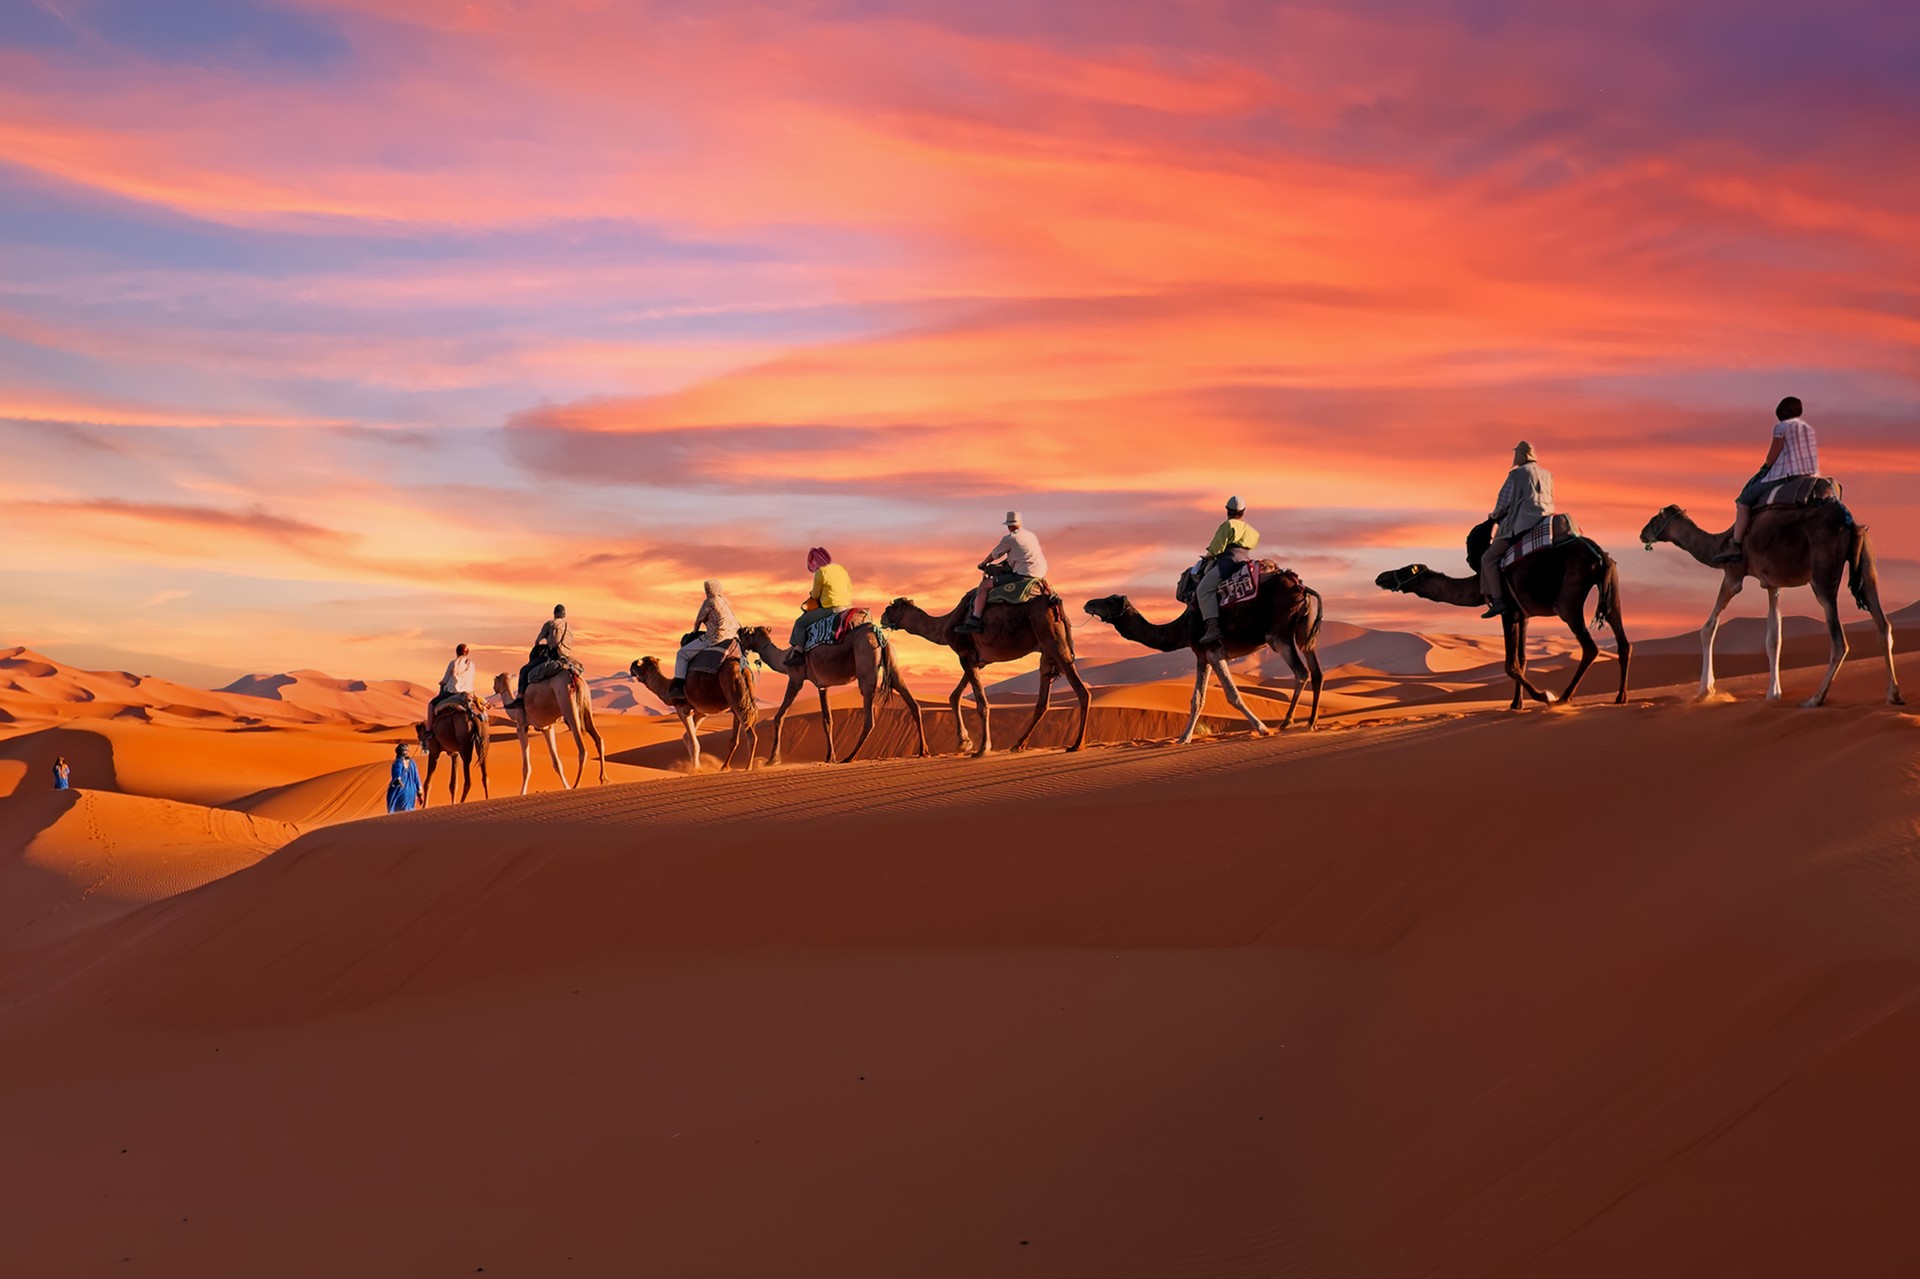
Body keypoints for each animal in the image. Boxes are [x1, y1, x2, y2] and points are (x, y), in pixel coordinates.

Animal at [729, 622, 925, 760]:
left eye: (746, 633)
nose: (737, 634)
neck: (783, 658)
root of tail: (877, 634)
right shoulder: (822, 685)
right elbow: (827, 720)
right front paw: (830, 756)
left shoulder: (795, 679)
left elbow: (779, 716)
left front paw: (773, 759)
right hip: (893, 664)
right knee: (910, 700)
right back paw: (924, 750)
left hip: (866, 664)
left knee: (869, 717)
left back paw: (850, 757)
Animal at [879, 591, 1090, 752]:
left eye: (890, 608)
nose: (881, 618)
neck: (947, 626)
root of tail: (1054, 603)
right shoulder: (977, 661)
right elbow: (954, 696)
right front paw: (964, 742)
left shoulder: (965, 656)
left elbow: (982, 704)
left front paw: (982, 747)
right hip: (1046, 652)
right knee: (1042, 702)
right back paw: (1018, 744)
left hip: (1053, 640)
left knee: (1082, 691)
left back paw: (1077, 744)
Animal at [1090, 564, 1328, 741]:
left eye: (1110, 600)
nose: (1088, 603)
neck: (1183, 627)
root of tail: (1301, 588)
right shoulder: (1201, 655)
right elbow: (1197, 698)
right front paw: (1183, 738)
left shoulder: (1213, 651)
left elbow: (1233, 695)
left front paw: (1262, 728)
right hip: (1304, 633)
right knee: (1316, 672)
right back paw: (1311, 722)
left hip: (1280, 636)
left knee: (1301, 672)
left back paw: (1287, 721)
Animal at [1374, 522, 1628, 710]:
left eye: (1405, 570)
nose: (1380, 577)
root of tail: (1600, 555)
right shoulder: (1523, 615)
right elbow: (1522, 660)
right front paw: (1516, 704)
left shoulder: (1506, 611)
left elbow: (1510, 665)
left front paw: (1544, 696)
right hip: (1612, 589)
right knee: (1622, 639)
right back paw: (1620, 697)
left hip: (1568, 599)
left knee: (1590, 647)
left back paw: (1564, 697)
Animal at [1635, 499, 1904, 702]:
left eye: (1655, 518)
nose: (1641, 533)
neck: (1720, 544)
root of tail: (1851, 525)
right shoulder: (1773, 584)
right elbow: (1774, 637)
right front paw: (1774, 693)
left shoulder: (1733, 575)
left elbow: (1708, 627)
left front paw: (1705, 690)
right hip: (1868, 565)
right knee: (1883, 626)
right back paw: (1893, 695)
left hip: (1823, 574)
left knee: (1839, 641)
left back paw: (1815, 699)